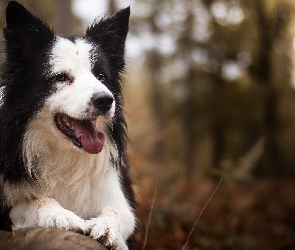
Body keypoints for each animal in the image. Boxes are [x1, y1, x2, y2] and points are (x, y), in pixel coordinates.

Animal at [0, 0, 136, 249]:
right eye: (61, 77)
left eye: (101, 76)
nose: (105, 100)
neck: (64, 157)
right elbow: (36, 201)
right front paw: (63, 216)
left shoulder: (117, 198)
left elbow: (115, 213)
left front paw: (108, 229)